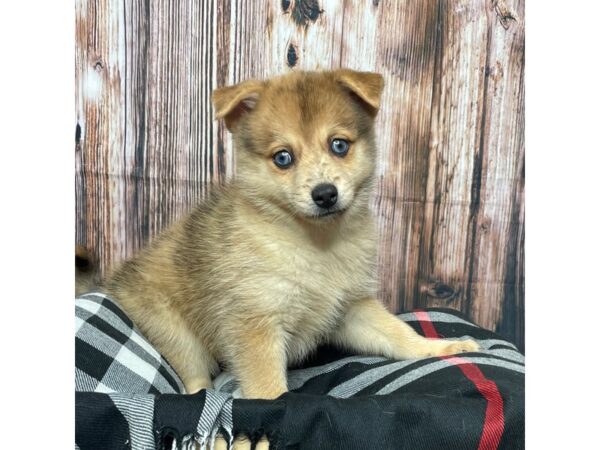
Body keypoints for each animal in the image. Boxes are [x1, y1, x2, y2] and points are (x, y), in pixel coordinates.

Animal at [101, 68, 480, 400]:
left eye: (339, 145)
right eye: (283, 157)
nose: (325, 194)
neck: (315, 242)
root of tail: (117, 282)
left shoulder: (352, 307)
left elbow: (397, 334)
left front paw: (439, 347)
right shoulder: (256, 323)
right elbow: (267, 388)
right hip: (175, 333)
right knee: (194, 381)